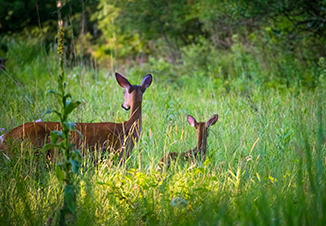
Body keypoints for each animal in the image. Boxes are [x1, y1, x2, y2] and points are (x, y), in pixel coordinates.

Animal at [0, 73, 153, 164]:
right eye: (123, 92)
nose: (124, 105)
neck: (128, 128)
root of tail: (5, 137)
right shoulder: (117, 153)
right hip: (32, 150)